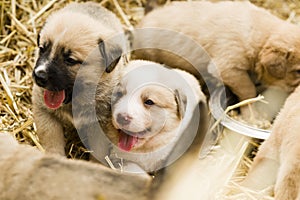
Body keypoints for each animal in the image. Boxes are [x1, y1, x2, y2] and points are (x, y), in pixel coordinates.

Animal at [31, 1, 126, 155]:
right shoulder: (44, 113)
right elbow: (52, 143)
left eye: (70, 60)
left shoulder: (100, 126)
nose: (39, 76)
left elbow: (98, 151)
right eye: (42, 49)